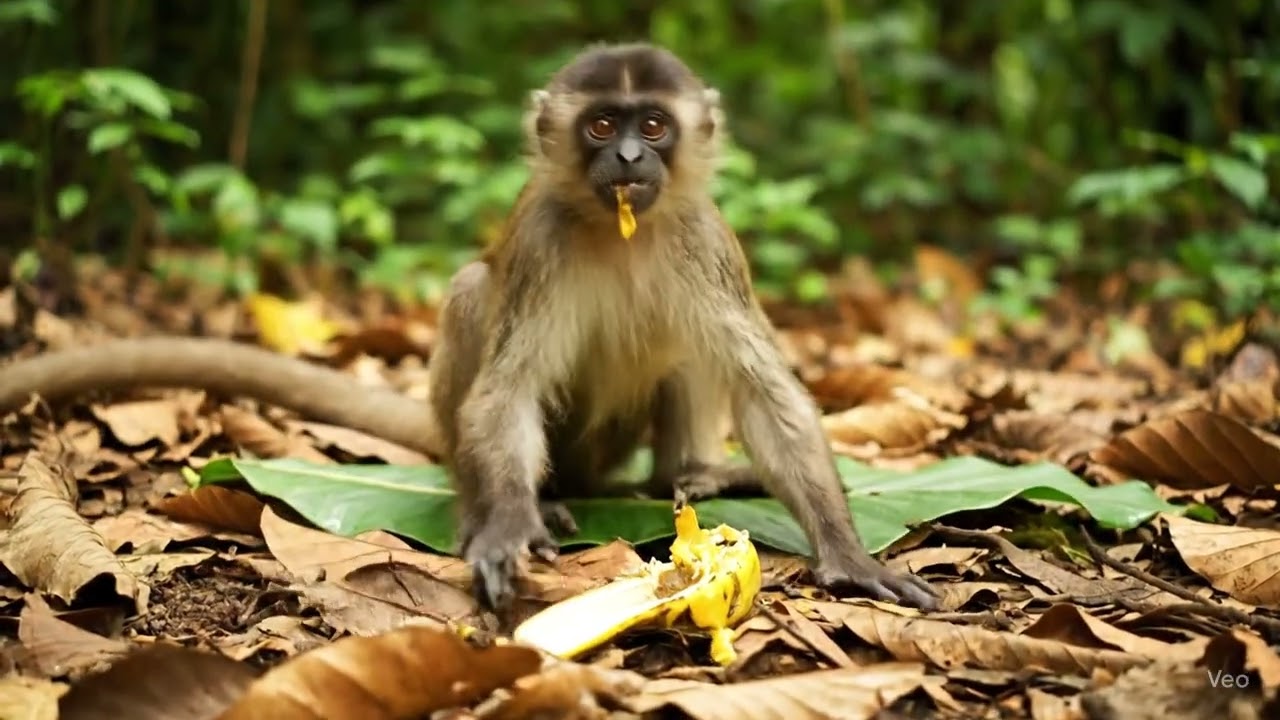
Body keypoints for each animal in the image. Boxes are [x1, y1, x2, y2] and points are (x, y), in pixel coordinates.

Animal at [426, 42, 939, 613]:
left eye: (653, 126)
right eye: (602, 126)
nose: (629, 157)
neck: (621, 230)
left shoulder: (706, 237)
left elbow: (766, 394)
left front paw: (848, 556)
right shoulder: (541, 239)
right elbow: (508, 390)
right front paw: (508, 527)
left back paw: (688, 475)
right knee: (471, 289)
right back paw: (508, 507)